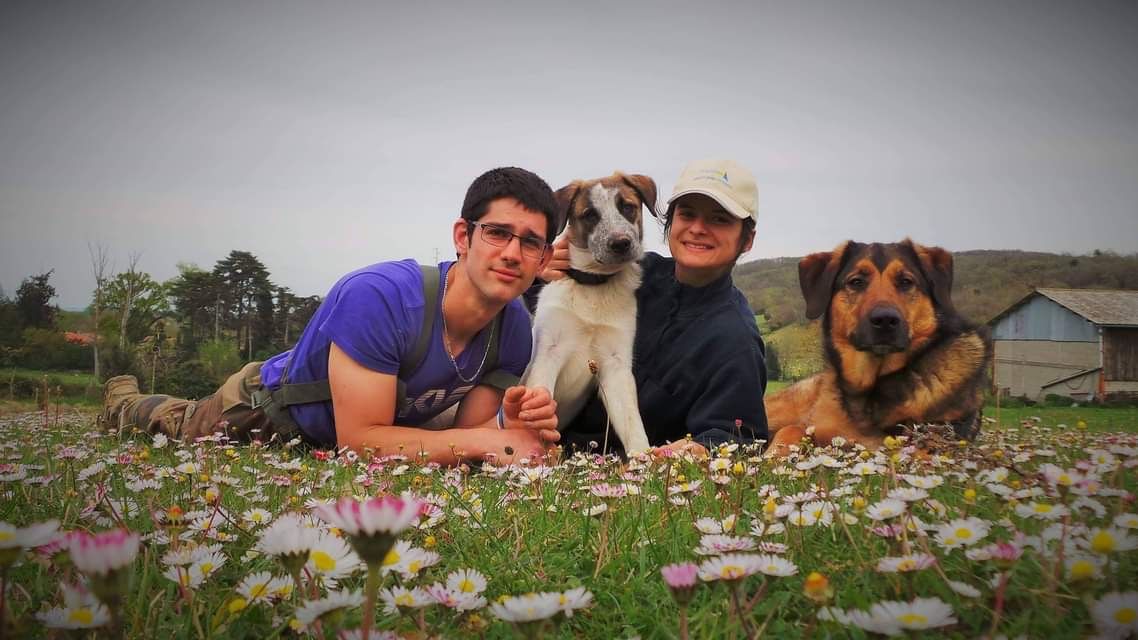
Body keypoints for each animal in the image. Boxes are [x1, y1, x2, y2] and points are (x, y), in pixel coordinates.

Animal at [523, 171, 660, 450]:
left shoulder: (615, 365)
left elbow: (633, 425)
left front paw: (644, 458)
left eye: (627, 207)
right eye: (589, 214)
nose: (621, 243)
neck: (594, 286)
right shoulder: (547, 353)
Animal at [764, 239, 996, 453]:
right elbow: (792, 430)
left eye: (906, 281)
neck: (870, 386)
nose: (885, 320)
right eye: (856, 282)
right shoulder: (816, 427)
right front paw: (774, 455)